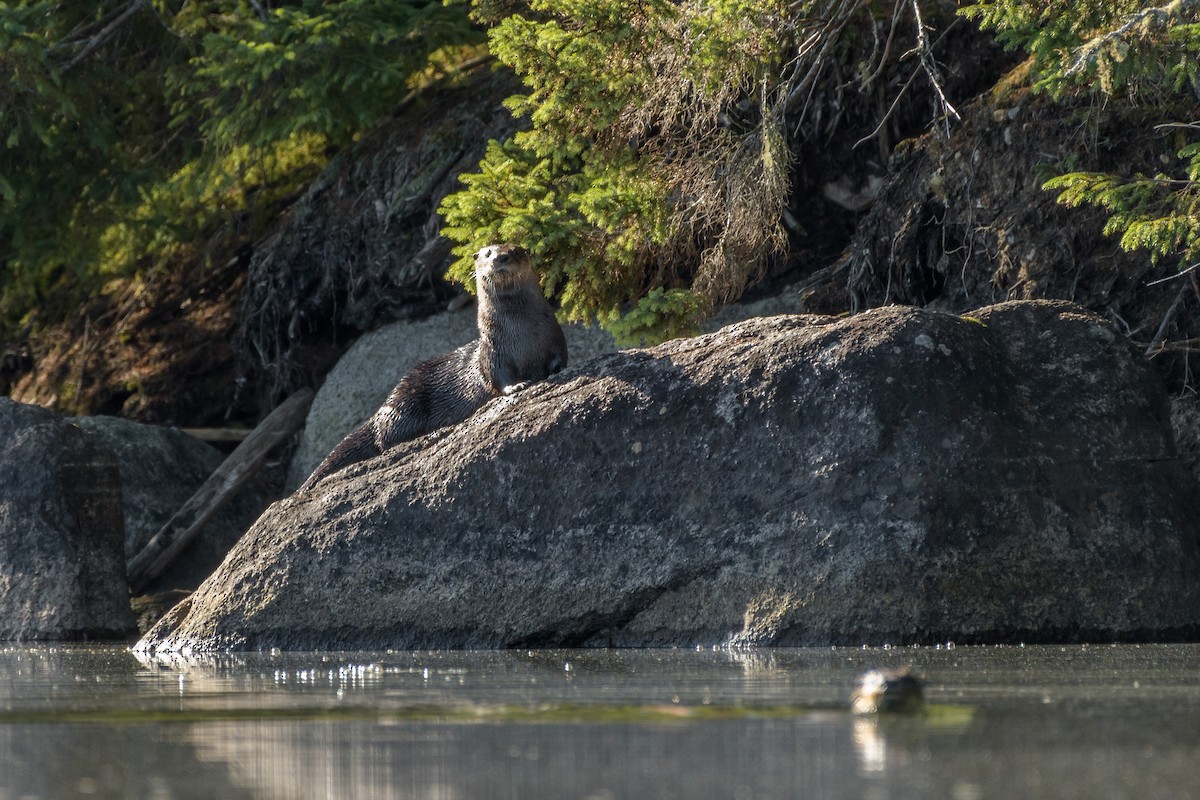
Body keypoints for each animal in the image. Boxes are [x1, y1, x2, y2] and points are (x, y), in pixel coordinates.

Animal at [298, 245, 567, 491]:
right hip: (405, 402)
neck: (522, 333)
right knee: (384, 439)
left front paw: (556, 370)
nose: (501, 257)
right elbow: (498, 378)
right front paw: (518, 385)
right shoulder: (493, 352)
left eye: (515, 250)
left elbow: (560, 358)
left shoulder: (554, 336)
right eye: (488, 252)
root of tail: (381, 409)